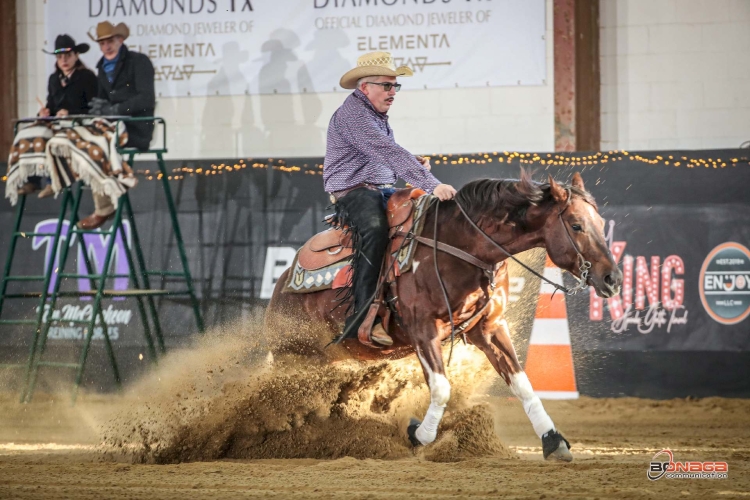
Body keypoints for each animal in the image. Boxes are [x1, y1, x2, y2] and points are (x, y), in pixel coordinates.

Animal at [268, 174, 624, 462]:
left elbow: (522, 383)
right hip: (294, 352)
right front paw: (418, 435)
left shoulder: (490, 329)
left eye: (600, 222)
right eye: (576, 225)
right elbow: (441, 388)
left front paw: (553, 441)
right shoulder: (423, 330)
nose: (613, 279)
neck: (463, 246)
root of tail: (283, 281)